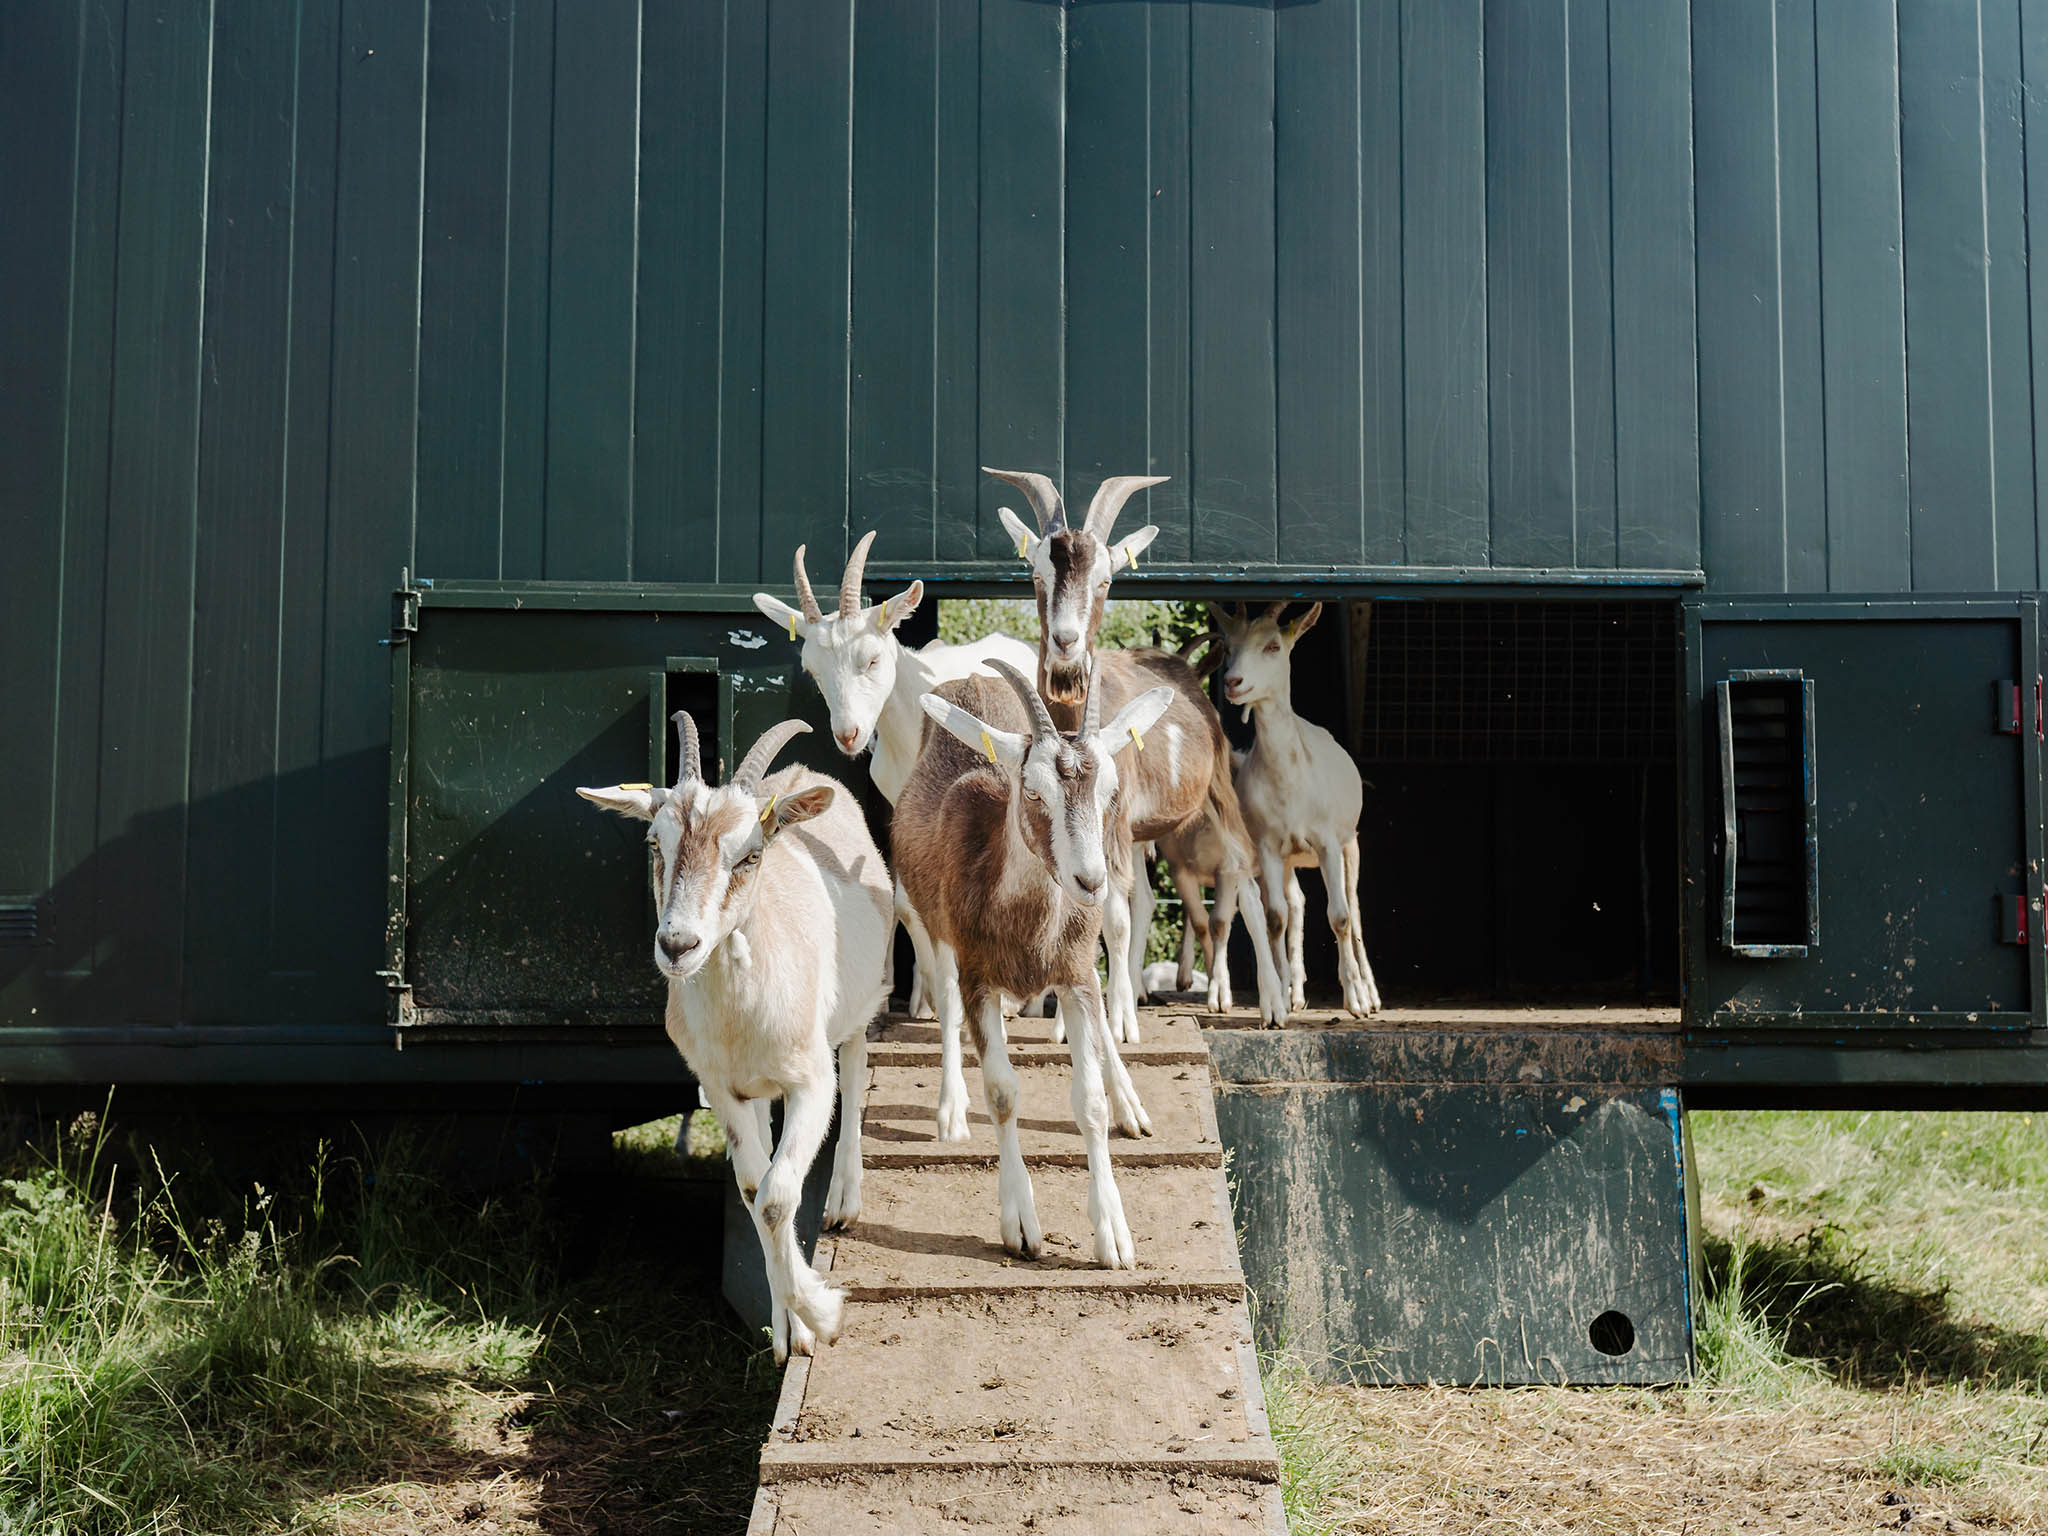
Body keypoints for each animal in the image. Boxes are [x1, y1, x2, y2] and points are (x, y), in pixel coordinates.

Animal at [581, 716, 892, 1368]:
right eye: (655, 844)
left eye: (750, 854)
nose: (678, 946)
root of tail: (806, 776)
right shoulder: (723, 1090)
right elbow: (755, 1192)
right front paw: (790, 1330)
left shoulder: (809, 1082)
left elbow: (777, 1196)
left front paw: (826, 1315)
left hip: (861, 1007)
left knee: (856, 1075)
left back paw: (844, 1202)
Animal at [753, 532, 1040, 1146]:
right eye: (813, 668)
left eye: (872, 657)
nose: (848, 735)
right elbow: (928, 941)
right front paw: (953, 1094)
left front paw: (955, 1105)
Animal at [892, 667, 1171, 1269]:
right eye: (1034, 792)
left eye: (1110, 792)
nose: (1091, 881)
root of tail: (971, 678)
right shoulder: (977, 977)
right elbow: (1001, 1091)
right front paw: (1020, 1222)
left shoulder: (1076, 975)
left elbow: (1088, 1100)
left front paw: (1113, 1233)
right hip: (928, 921)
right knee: (943, 998)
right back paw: (951, 1110)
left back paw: (1130, 1102)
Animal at [983, 462, 1286, 1028]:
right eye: (1036, 576)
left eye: (1105, 581)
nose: (1065, 642)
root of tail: (1183, 671)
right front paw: (1061, 1016)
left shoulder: (1114, 812)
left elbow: (1113, 915)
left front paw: (1117, 1021)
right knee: (1143, 898)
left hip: (1214, 794)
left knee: (1248, 884)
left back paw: (1272, 1004)